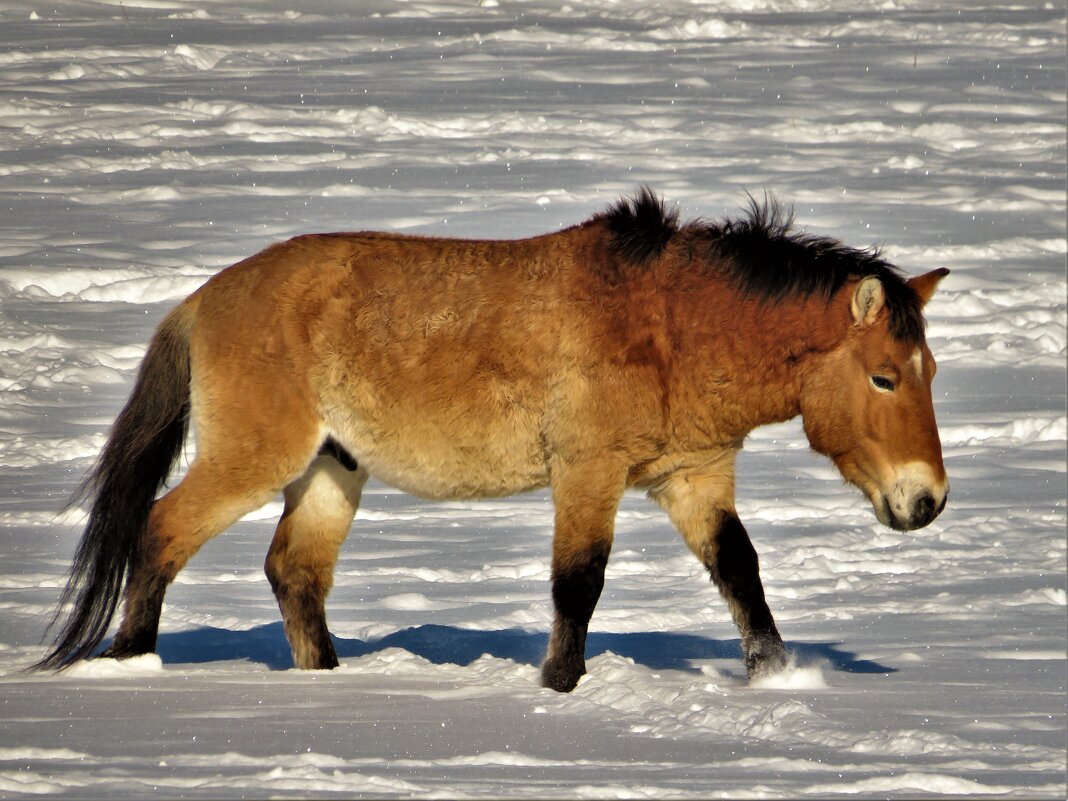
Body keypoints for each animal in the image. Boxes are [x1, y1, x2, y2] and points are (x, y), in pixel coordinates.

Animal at [35, 187, 952, 692]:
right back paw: (134, 664)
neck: (674, 327)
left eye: (930, 369)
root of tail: (204, 299)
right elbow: (578, 584)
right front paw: (560, 686)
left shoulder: (692, 478)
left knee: (294, 571)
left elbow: (742, 576)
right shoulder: (587, 473)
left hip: (332, 469)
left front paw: (776, 679)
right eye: (884, 377)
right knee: (161, 532)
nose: (926, 501)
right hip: (255, 458)